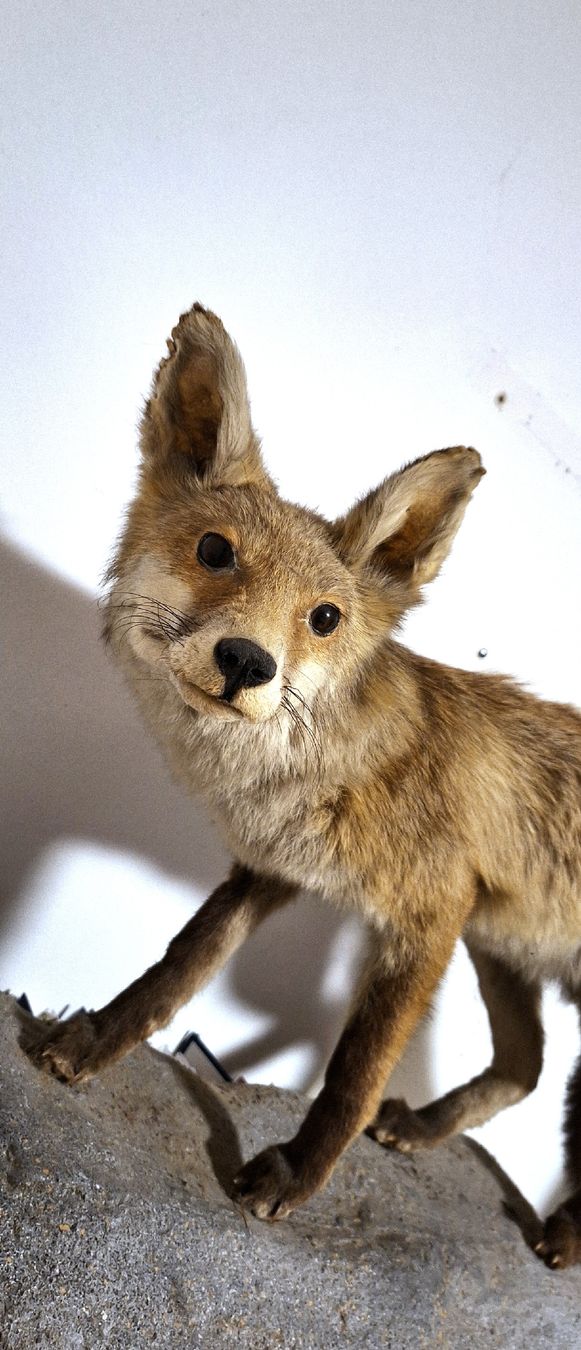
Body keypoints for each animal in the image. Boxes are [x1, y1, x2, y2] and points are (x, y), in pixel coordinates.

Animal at [26, 303, 581, 1269]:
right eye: (215, 551)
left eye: (324, 618)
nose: (247, 661)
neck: (319, 774)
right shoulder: (274, 871)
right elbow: (176, 970)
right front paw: (95, 1042)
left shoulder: (427, 915)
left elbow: (353, 1069)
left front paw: (295, 1173)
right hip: (502, 947)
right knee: (525, 1066)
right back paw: (427, 1130)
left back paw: (567, 1234)